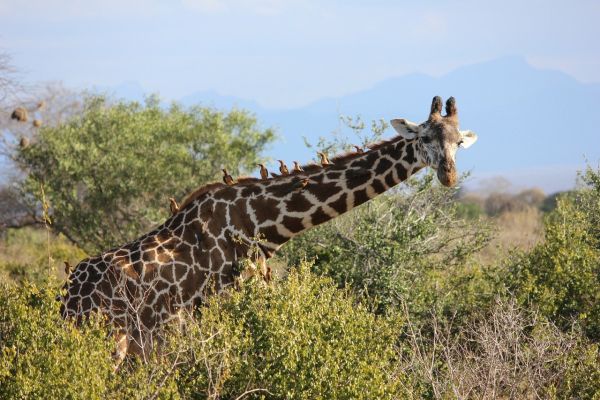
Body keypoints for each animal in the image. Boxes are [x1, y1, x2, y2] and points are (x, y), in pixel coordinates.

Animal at [57, 96, 478, 362]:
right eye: (424, 137)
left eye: (459, 142)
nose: (448, 175)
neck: (263, 224)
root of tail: (67, 296)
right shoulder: (226, 307)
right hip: (110, 340)